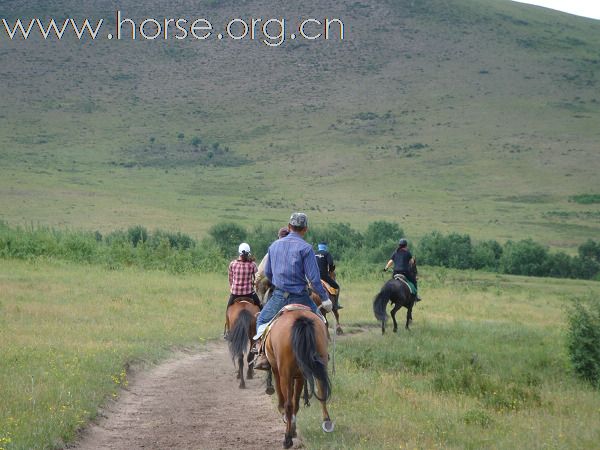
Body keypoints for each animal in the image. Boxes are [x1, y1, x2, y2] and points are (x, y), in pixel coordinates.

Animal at [266, 308, 336, 448]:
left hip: (285, 373)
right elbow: (296, 403)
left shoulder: (277, 370)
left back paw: (287, 439)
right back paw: (326, 421)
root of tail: (301, 319)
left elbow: (284, 399)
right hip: (319, 364)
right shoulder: (300, 376)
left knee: (288, 404)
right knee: (322, 392)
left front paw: (288, 425)